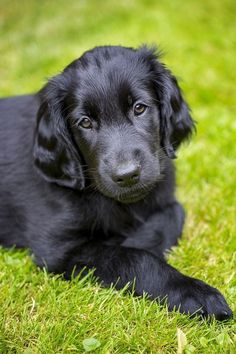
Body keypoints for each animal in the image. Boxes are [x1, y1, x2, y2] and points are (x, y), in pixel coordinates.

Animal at [0, 45, 232, 320]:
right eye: (85, 122)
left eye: (139, 108)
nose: (127, 175)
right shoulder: (57, 247)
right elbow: (135, 258)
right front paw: (196, 293)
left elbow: (175, 212)